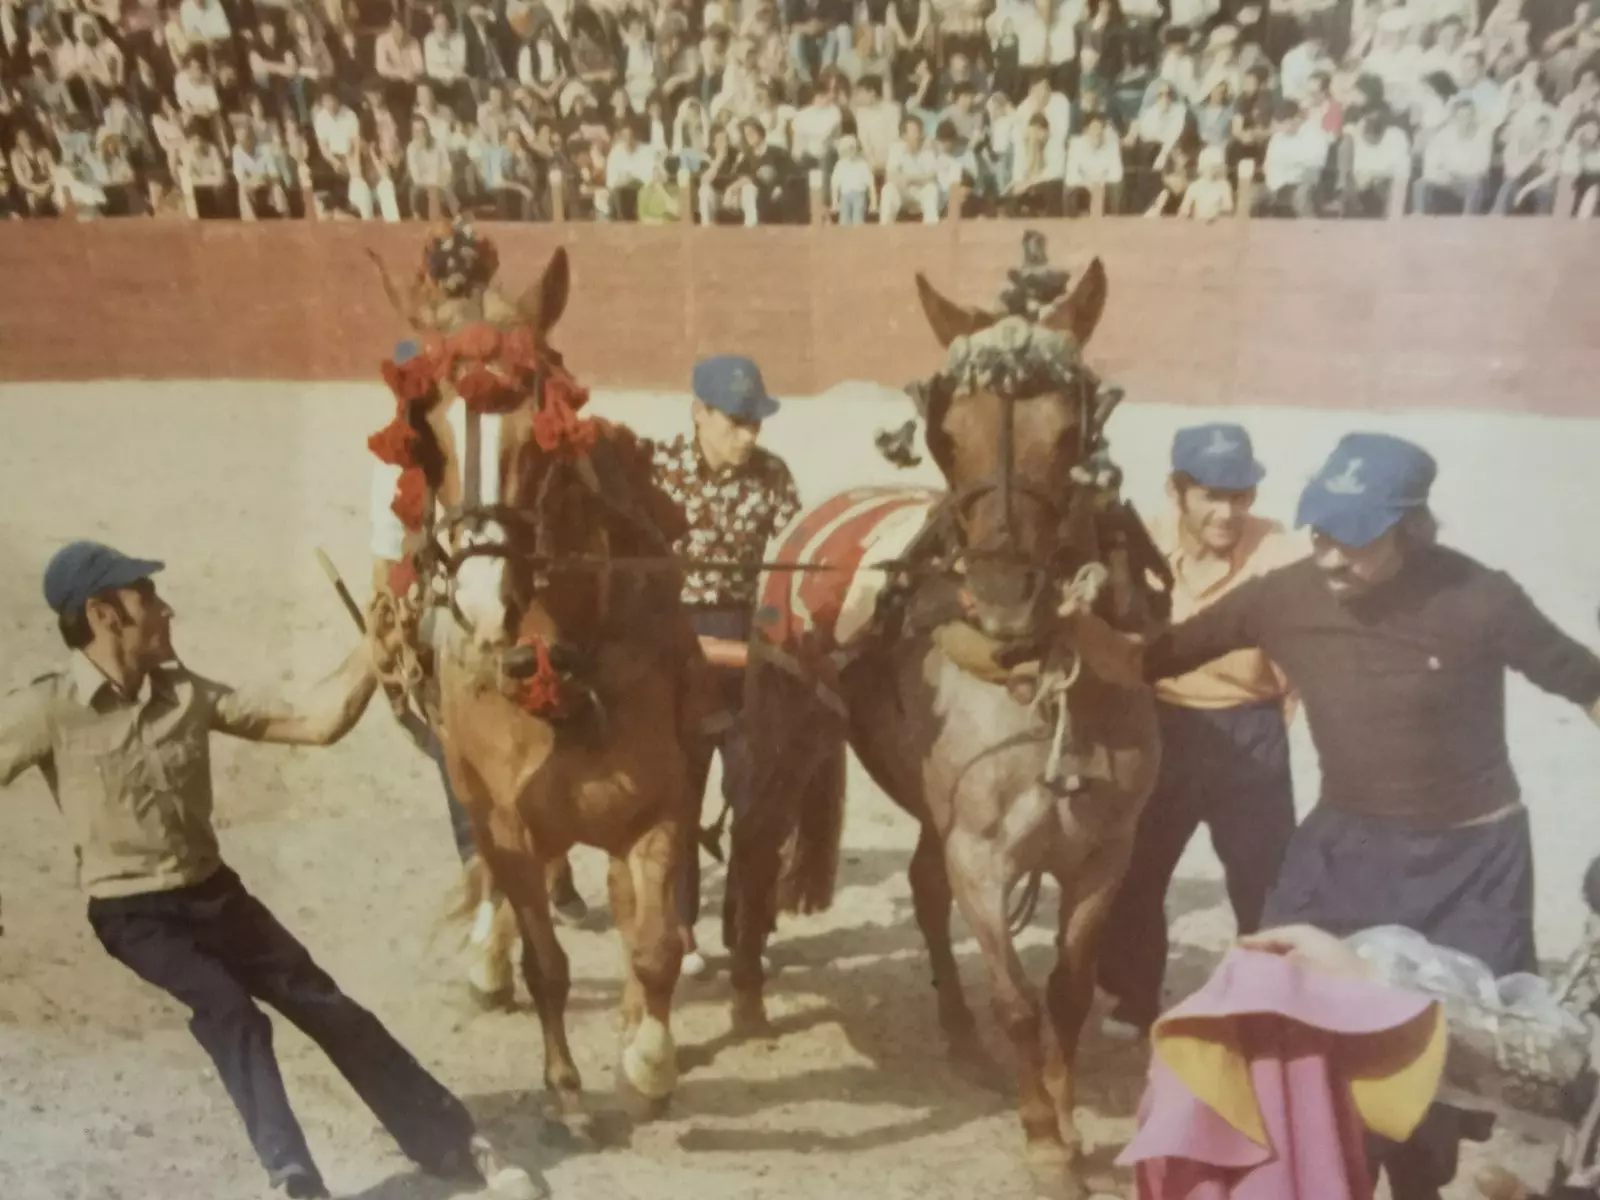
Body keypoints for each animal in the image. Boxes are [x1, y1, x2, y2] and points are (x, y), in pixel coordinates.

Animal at [368, 230, 707, 1139]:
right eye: (427, 441)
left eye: (540, 437)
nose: (486, 600)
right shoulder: (506, 820)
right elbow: (546, 962)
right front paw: (566, 1089)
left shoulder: (660, 806)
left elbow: (654, 945)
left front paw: (649, 1063)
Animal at [726, 249, 1164, 1196]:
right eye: (947, 436)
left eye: (1070, 436)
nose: (1004, 596)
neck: (1046, 678)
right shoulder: (983, 854)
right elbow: (1018, 1000)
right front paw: (1043, 1140)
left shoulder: (1105, 855)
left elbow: (1068, 990)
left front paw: (1066, 1116)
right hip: (786, 734)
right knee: (755, 843)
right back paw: (746, 994)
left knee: (923, 887)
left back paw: (960, 1038)